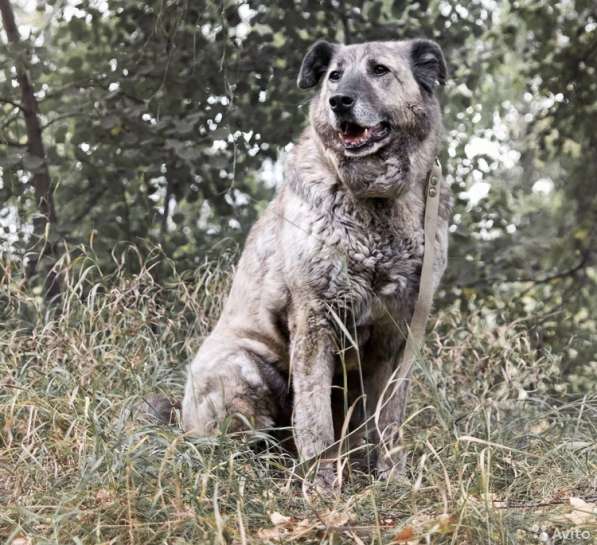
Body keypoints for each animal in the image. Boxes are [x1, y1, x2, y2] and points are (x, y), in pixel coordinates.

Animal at [179, 37, 450, 484]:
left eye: (379, 70)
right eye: (334, 76)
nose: (339, 101)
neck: (375, 203)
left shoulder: (399, 334)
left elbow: (389, 419)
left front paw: (392, 480)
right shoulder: (315, 318)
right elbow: (314, 417)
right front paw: (323, 486)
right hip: (243, 369)